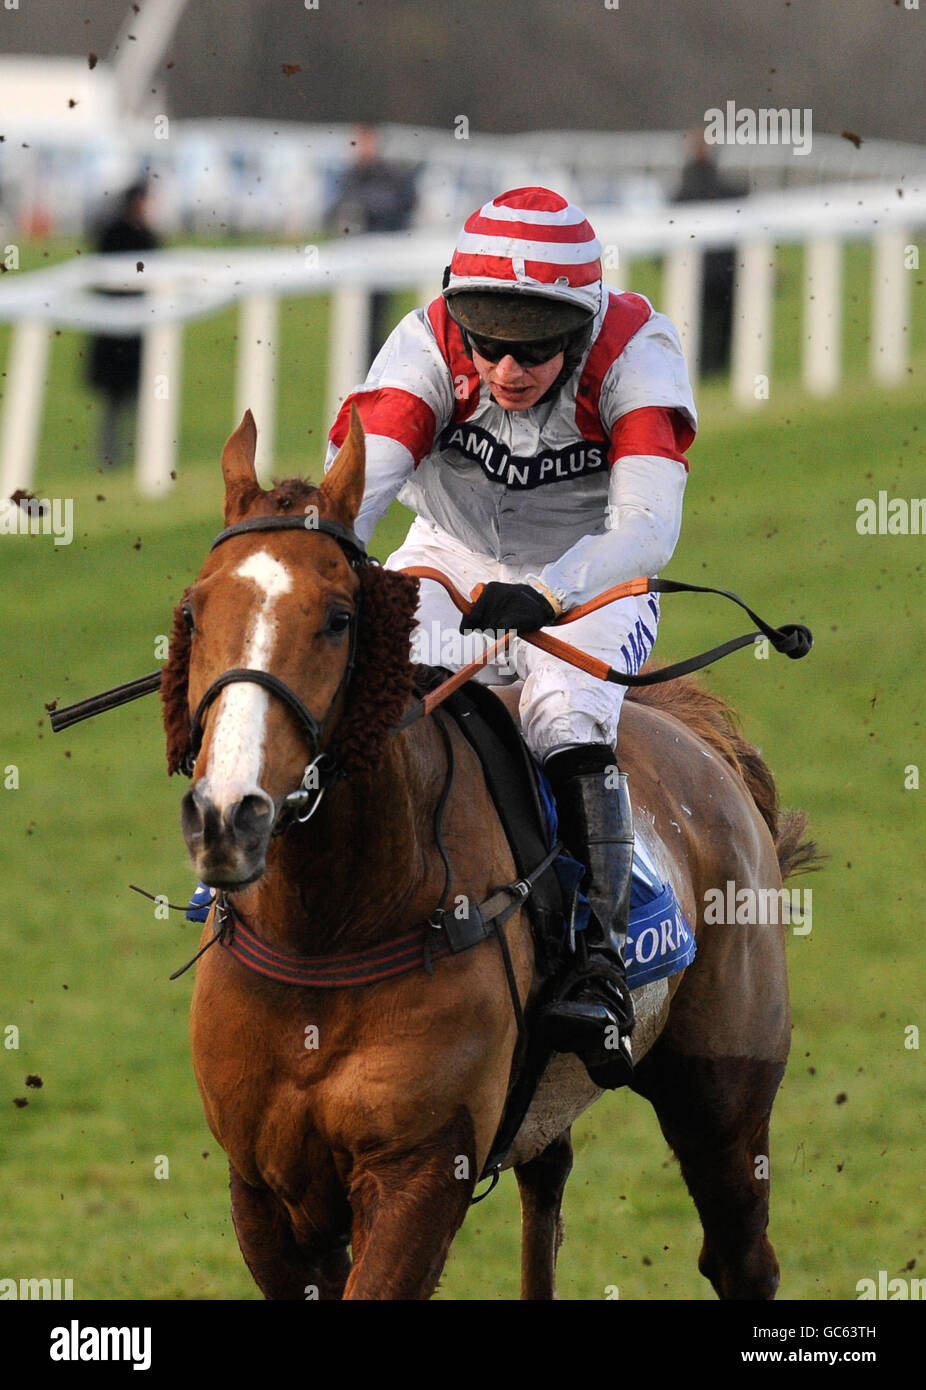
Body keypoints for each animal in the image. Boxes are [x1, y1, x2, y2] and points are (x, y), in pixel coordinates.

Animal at [161, 405, 811, 1295]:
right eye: (196, 612)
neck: (329, 930)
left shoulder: (422, 1169)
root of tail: (696, 731)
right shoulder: (266, 1192)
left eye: (338, 619)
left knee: (741, 1253)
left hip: (724, 1098)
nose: (229, 814)